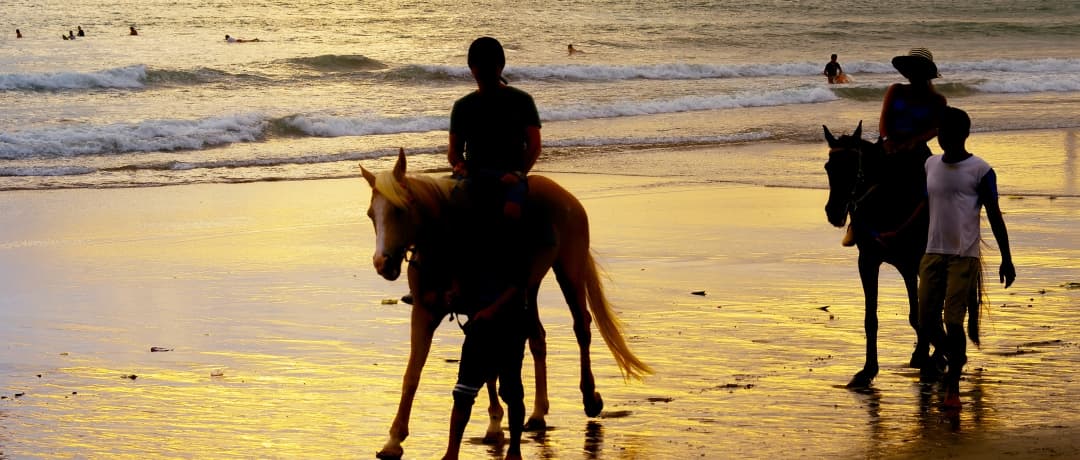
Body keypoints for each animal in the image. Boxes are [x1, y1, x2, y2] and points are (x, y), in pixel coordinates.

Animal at [361, 149, 651, 459]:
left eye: (400, 210)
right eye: (371, 215)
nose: (382, 263)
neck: (448, 247)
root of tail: (563, 193)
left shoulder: (481, 312)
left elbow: (488, 367)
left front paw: (494, 422)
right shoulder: (426, 313)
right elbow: (412, 375)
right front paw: (394, 440)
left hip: (569, 270)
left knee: (581, 327)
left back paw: (590, 397)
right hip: (528, 289)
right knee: (537, 338)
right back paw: (538, 413)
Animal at [823, 122, 934, 388]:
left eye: (853, 167)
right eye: (829, 167)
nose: (834, 211)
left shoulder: (918, 260)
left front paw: (930, 358)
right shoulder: (868, 261)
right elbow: (870, 318)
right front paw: (868, 370)